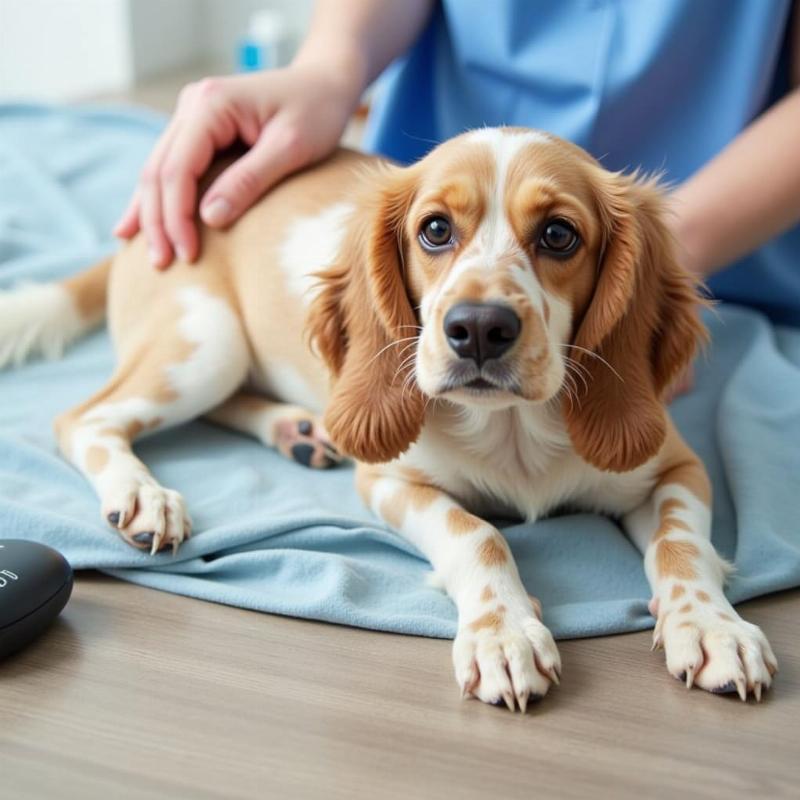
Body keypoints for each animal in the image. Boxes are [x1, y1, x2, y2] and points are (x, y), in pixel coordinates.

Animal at [0, 128, 776, 708]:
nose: (478, 328)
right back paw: (144, 495)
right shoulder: (390, 479)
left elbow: (682, 547)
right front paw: (503, 632)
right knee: (83, 418)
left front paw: (712, 625)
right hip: (207, 340)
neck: (514, 430)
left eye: (559, 235)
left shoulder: (676, 465)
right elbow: (477, 535)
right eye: (434, 230)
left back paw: (299, 430)